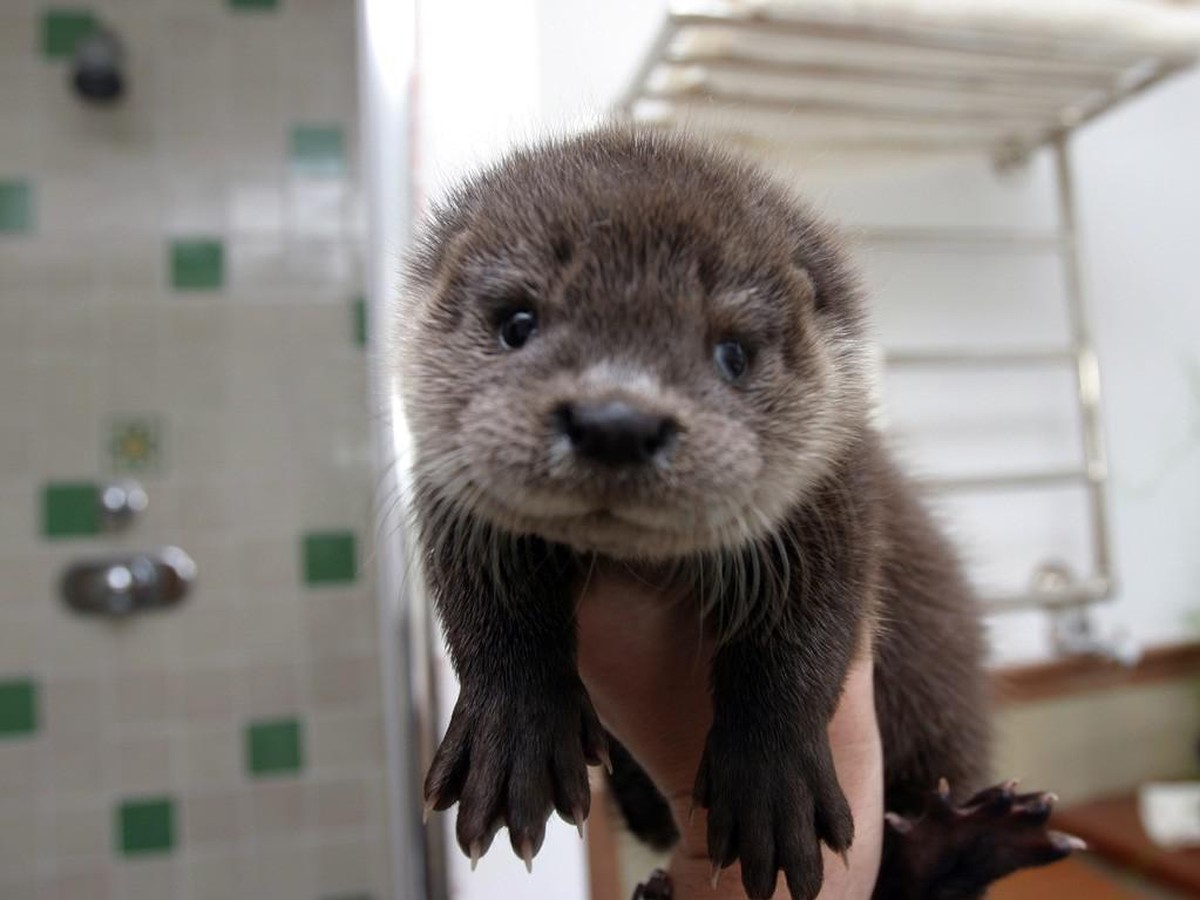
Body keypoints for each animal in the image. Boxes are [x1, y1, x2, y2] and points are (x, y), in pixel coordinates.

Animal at [400, 127, 1076, 899]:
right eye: (517, 321)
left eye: (734, 352)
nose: (615, 422)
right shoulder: (449, 496)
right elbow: (487, 606)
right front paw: (515, 734)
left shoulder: (837, 502)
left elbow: (805, 635)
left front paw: (769, 788)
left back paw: (960, 844)